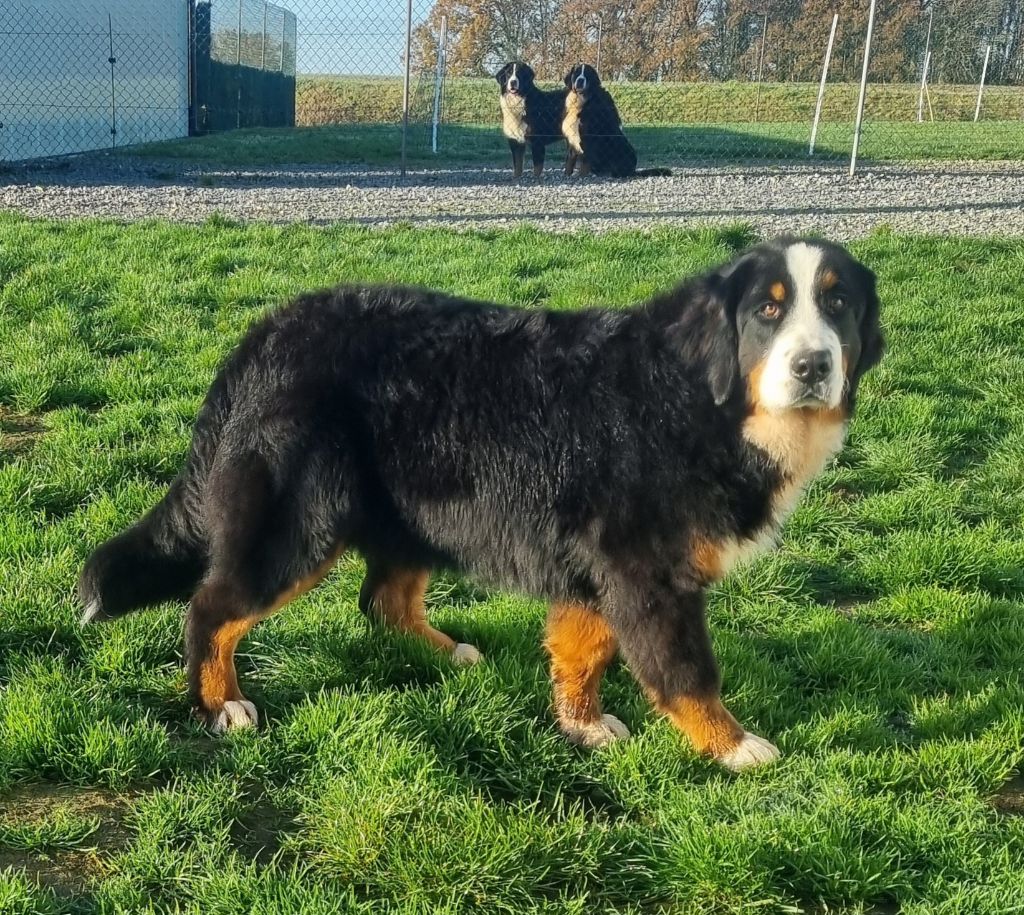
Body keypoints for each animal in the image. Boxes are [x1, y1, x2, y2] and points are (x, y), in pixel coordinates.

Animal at [77, 238, 880, 773]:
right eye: (768, 311)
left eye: (837, 302)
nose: (813, 365)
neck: (699, 399)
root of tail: (265, 332)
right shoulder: (649, 576)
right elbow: (687, 672)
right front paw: (733, 744)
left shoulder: (597, 565)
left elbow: (581, 649)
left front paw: (581, 726)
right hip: (297, 524)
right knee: (213, 606)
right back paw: (220, 704)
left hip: (409, 512)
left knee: (382, 601)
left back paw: (440, 649)